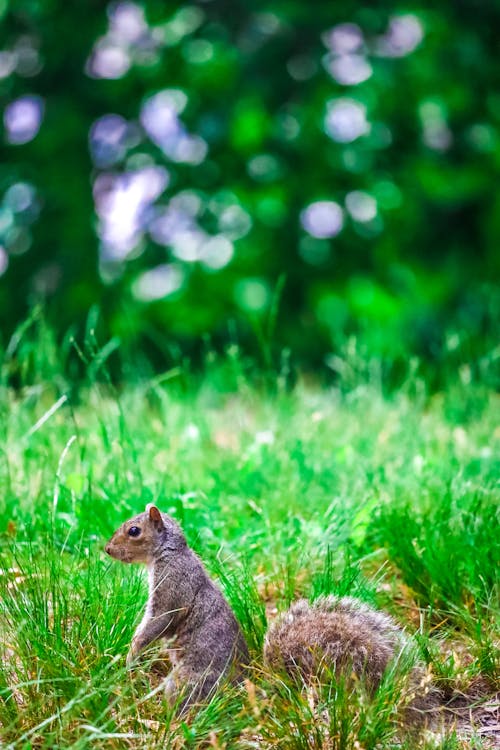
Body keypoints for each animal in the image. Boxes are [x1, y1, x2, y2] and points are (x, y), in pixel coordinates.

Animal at [104, 506, 249, 712]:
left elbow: (158, 623)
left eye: (134, 531)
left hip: (186, 683)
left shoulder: (171, 589)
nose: (108, 549)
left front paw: (131, 656)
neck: (170, 553)